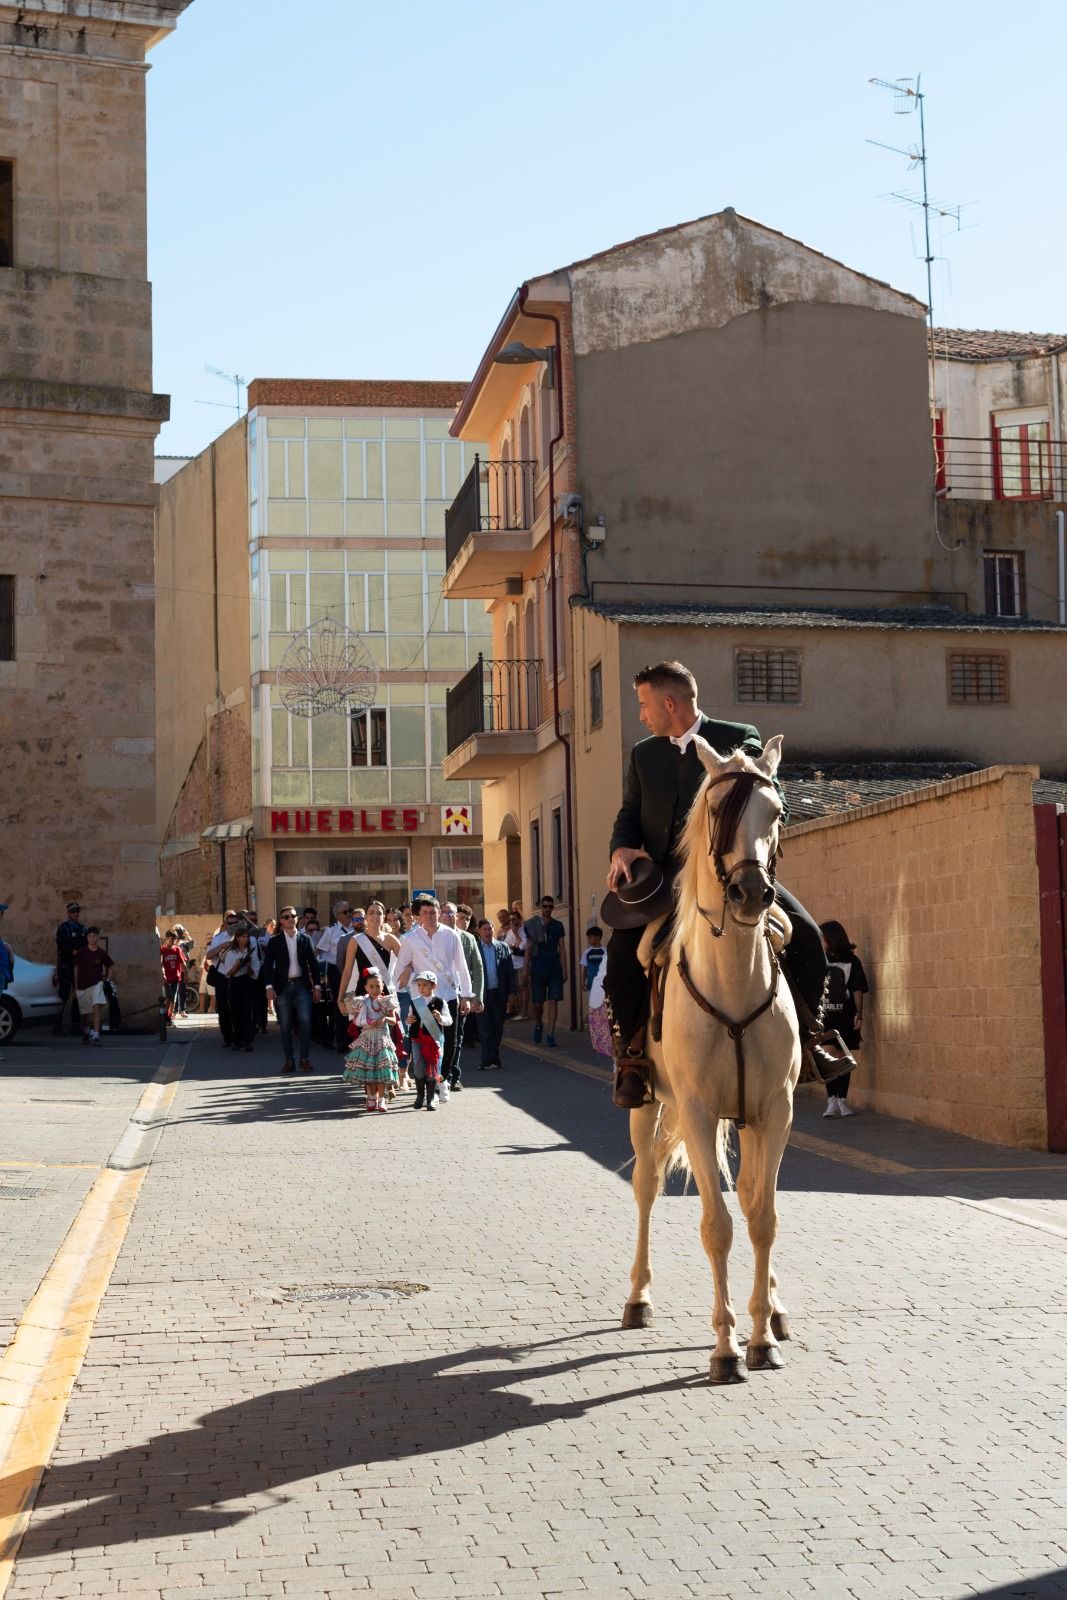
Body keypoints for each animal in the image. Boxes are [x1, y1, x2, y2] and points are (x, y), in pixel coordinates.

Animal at [627, 732, 799, 1376]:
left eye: (775, 814)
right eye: (716, 813)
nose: (751, 894)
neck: (732, 980)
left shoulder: (775, 1111)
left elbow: (762, 1216)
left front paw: (762, 1335)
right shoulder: (698, 1112)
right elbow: (717, 1225)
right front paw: (726, 1347)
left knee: (751, 1195)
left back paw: (773, 1307)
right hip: (645, 1107)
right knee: (646, 1187)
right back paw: (638, 1297)